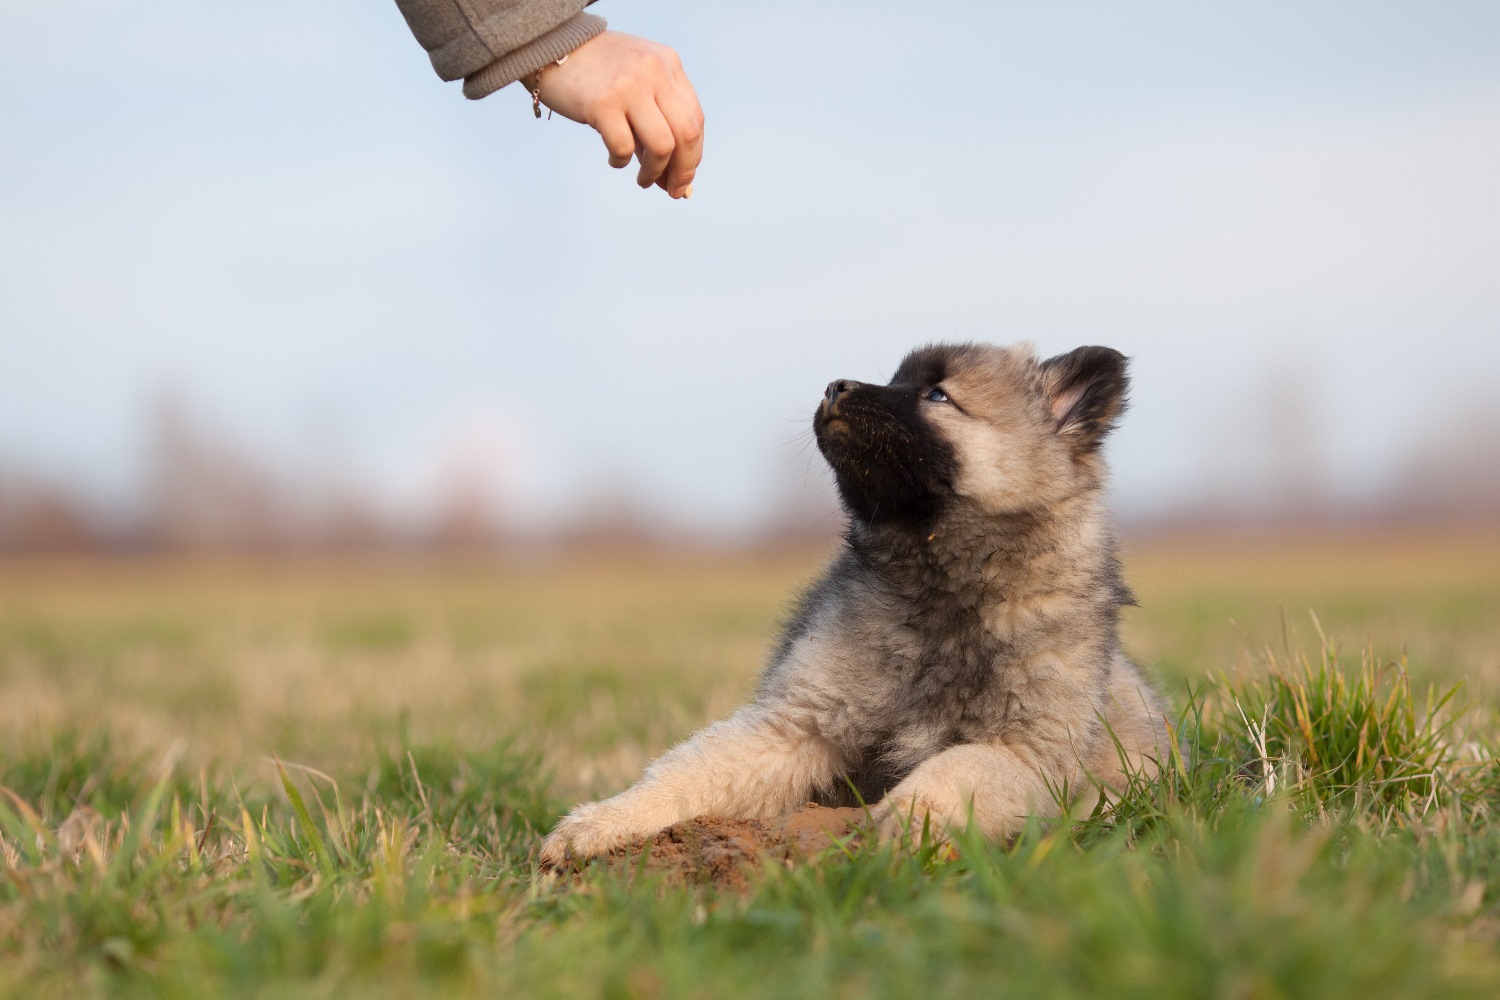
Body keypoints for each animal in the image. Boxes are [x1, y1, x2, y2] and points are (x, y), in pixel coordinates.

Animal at [540, 340, 1170, 863]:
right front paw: (604, 821)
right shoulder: (799, 723)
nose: (834, 385)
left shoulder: (1025, 750)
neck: (939, 587)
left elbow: (948, 772)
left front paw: (902, 828)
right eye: (894, 378)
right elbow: (688, 772)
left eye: (937, 394)